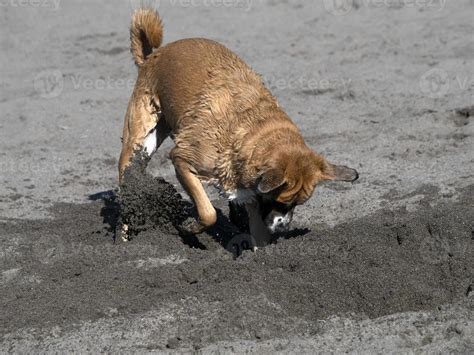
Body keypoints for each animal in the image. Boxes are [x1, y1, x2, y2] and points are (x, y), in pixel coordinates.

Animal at [119, 9, 360, 248]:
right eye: (280, 201)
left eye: (297, 204)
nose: (283, 228)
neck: (250, 132)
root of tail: (153, 56)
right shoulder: (182, 160)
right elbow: (208, 213)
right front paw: (190, 227)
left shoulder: (251, 197)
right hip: (137, 142)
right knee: (126, 184)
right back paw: (123, 238)